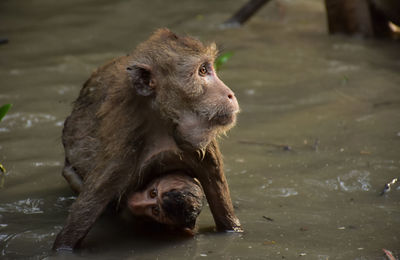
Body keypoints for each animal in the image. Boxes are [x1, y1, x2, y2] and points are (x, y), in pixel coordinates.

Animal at [54, 28, 242, 252]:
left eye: (208, 68)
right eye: (202, 71)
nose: (230, 94)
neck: (163, 122)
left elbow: (226, 221)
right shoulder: (123, 149)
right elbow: (70, 235)